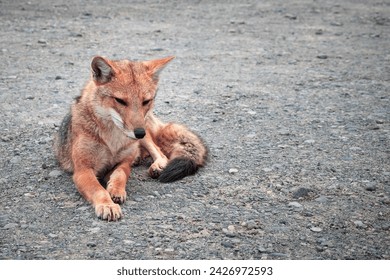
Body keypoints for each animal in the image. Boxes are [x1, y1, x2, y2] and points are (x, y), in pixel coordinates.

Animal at [54, 54, 210, 221]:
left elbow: (120, 174)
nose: (139, 133)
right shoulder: (82, 170)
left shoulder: (124, 162)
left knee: (160, 152)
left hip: (146, 137)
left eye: (146, 101)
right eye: (120, 101)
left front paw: (116, 189)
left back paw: (157, 165)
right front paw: (107, 205)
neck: (113, 141)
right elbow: (98, 189)